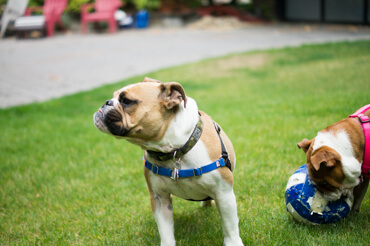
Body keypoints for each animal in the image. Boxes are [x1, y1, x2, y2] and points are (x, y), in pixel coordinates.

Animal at [93, 78, 243, 246]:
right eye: (113, 96)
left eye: (126, 101)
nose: (106, 102)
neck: (173, 150)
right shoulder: (160, 199)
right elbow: (165, 230)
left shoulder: (224, 194)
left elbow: (230, 226)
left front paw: (233, 243)